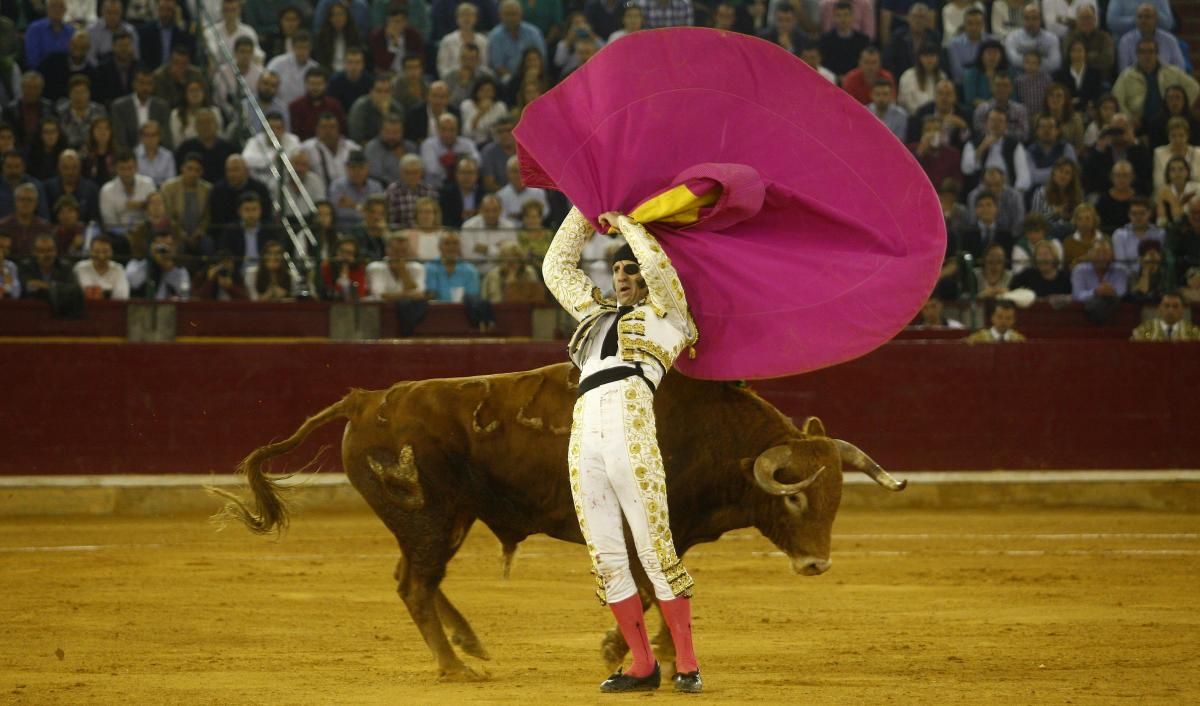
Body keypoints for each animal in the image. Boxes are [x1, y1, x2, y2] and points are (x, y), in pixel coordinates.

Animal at [216, 365, 902, 677]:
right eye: (794, 499)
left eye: (835, 498)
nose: (817, 564)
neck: (715, 434)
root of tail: (365, 400)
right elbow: (648, 588)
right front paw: (615, 649)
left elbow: (667, 589)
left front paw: (653, 648)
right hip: (433, 516)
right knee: (415, 584)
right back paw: (455, 668)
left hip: (438, 520)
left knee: (416, 580)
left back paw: (469, 644)